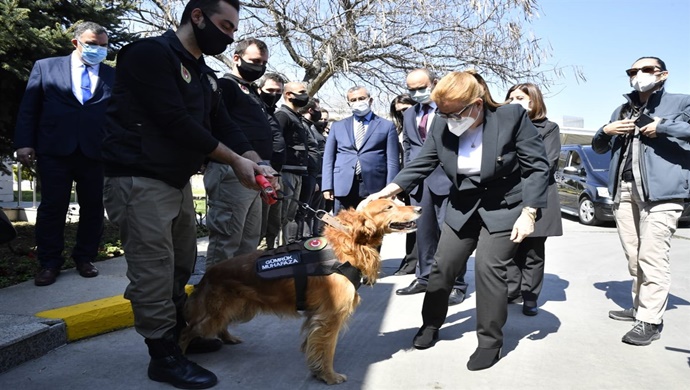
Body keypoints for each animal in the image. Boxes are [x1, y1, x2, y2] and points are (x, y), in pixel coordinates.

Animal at [181, 200, 420, 386]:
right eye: (389, 206)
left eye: (398, 202)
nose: (418, 208)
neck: (347, 245)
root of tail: (208, 273)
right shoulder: (330, 316)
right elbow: (327, 350)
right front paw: (329, 376)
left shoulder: (317, 316)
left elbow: (315, 346)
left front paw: (318, 371)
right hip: (215, 313)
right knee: (186, 331)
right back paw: (182, 355)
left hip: (239, 307)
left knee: (220, 324)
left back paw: (228, 338)